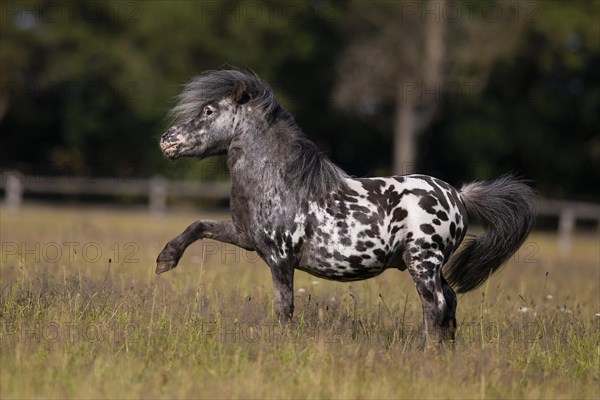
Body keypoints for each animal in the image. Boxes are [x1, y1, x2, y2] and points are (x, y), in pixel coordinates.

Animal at [155, 71, 536, 346]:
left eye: (208, 111)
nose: (166, 140)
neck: (282, 183)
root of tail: (457, 195)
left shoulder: (280, 258)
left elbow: (284, 307)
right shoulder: (247, 237)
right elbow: (199, 225)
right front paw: (165, 260)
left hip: (422, 262)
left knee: (436, 306)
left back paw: (427, 352)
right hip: (432, 265)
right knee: (450, 302)